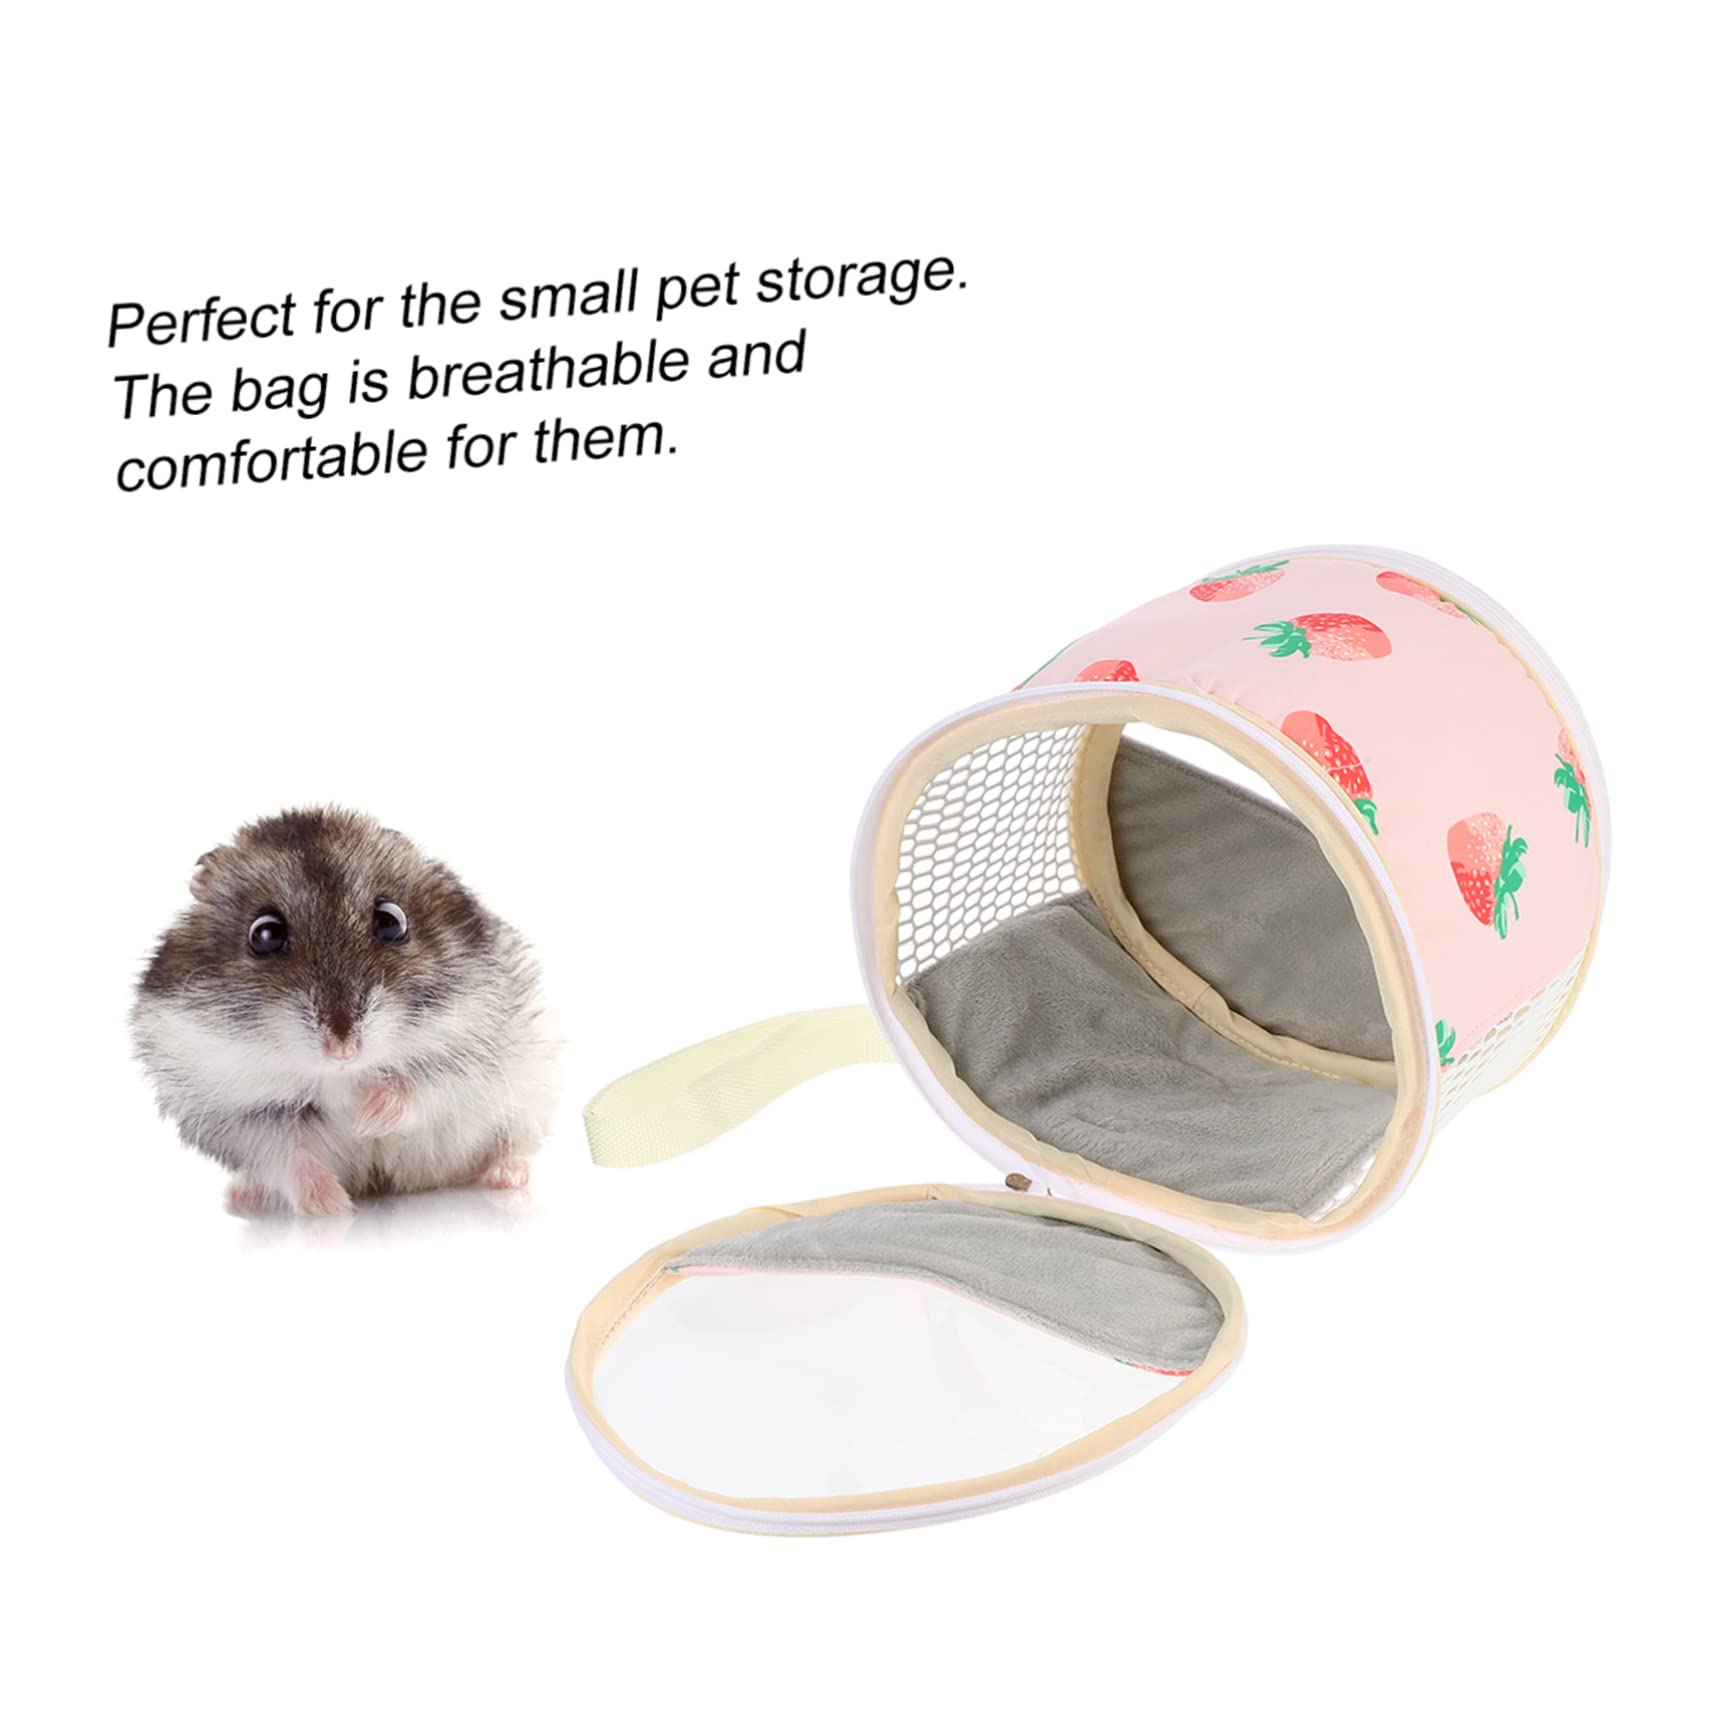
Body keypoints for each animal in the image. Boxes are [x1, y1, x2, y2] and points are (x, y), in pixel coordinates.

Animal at [131, 807, 561, 1216]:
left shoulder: (472, 1050)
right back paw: (243, 1194)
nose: (343, 1048)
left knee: (511, 1144)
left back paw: (506, 1176)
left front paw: (365, 1118)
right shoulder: (237, 1113)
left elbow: (419, 1086)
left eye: (391, 921)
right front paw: (332, 1206)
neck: (340, 1076)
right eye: (264, 935)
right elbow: (288, 1159)